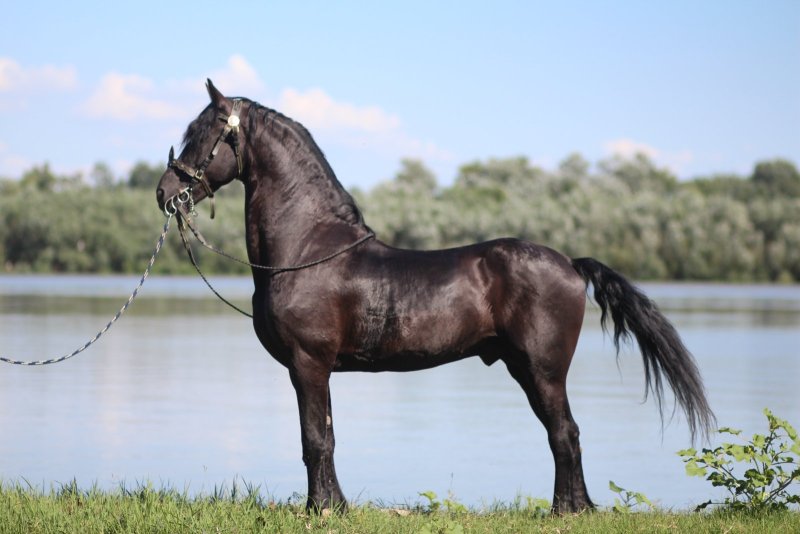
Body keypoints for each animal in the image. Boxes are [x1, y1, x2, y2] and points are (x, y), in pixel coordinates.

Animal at [156, 80, 714, 514]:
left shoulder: (308, 362)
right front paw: (333, 505)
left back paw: (567, 511)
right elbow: (323, 437)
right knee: (564, 436)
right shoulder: (313, 368)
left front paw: (320, 510)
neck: (309, 246)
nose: (165, 194)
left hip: (542, 370)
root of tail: (569, 263)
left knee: (565, 434)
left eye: (204, 134)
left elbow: (316, 439)